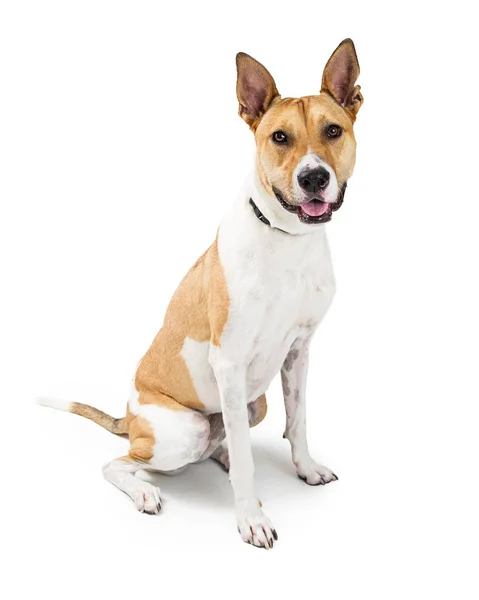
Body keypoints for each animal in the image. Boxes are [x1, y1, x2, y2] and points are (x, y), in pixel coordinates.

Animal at [38, 39, 364, 552]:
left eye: (333, 130)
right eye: (279, 137)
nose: (313, 178)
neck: (287, 241)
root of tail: (128, 417)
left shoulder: (299, 352)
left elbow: (299, 421)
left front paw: (306, 470)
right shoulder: (229, 362)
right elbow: (250, 462)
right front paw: (251, 518)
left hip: (253, 404)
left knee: (224, 440)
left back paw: (224, 458)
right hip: (182, 429)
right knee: (121, 462)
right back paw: (145, 491)